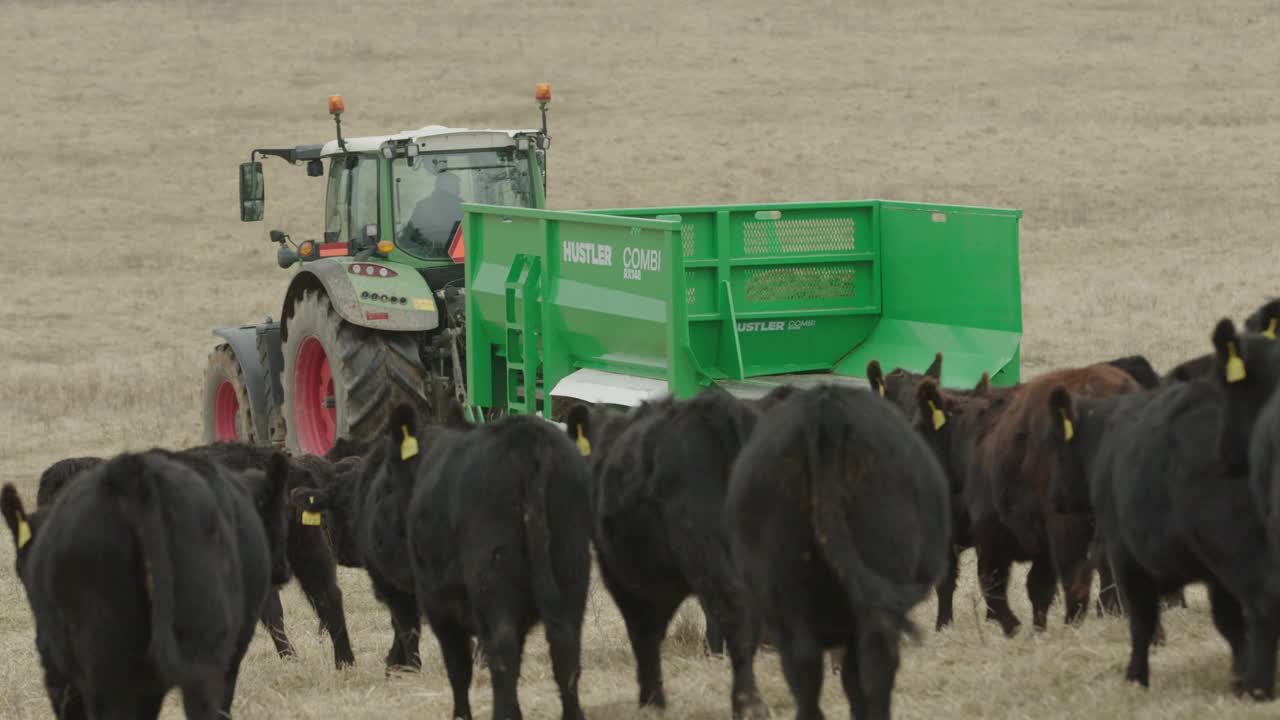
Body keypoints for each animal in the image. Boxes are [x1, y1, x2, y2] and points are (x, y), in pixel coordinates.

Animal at [386, 404, 591, 717]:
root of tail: (529, 439)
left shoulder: (439, 608)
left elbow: (458, 669)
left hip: (492, 576)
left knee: (502, 648)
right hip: (572, 565)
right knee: (566, 645)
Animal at [570, 389, 768, 712]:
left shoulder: (626, 578)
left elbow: (643, 631)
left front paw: (652, 701)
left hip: (706, 550)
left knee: (736, 611)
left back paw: (747, 702)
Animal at [1049, 316, 1280, 691]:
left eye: (1057, 447)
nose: (1055, 499)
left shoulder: (1127, 558)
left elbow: (1142, 621)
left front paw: (1136, 676)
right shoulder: (1214, 576)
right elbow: (1229, 624)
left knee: (1263, 603)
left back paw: (1257, 686)